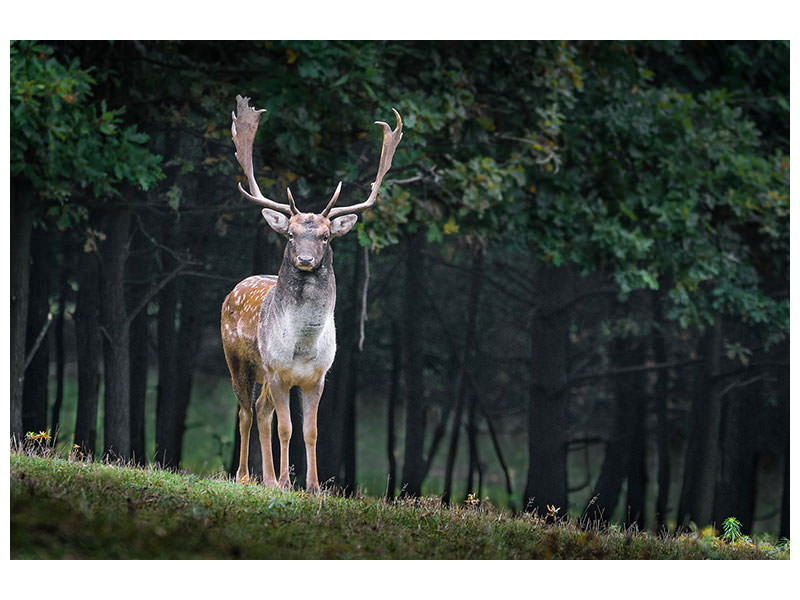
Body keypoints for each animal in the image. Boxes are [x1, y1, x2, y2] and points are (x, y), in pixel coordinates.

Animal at [220, 96, 404, 492]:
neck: (303, 346)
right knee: (245, 411)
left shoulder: (318, 377)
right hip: (238, 360)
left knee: (260, 411)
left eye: (325, 236)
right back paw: (245, 476)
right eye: (290, 234)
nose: (305, 259)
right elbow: (286, 429)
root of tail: (234, 290)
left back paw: (267, 478)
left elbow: (311, 431)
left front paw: (314, 486)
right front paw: (286, 482)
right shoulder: (277, 371)